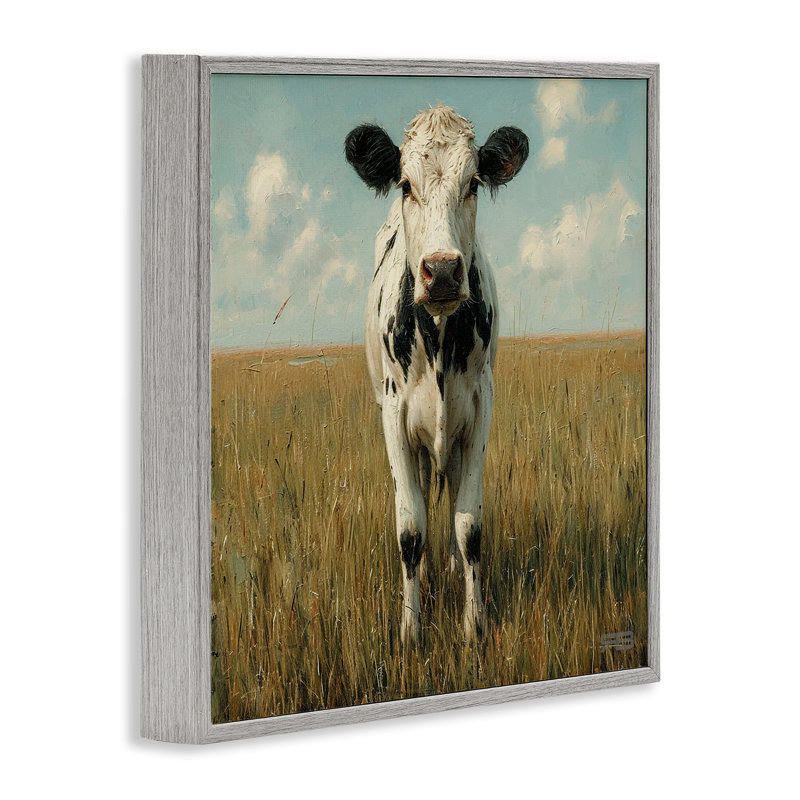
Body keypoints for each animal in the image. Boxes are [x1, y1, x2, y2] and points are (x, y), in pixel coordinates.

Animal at [344, 106, 528, 645]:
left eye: (473, 184)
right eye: (406, 184)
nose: (444, 271)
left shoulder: (481, 408)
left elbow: (469, 527)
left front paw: (474, 626)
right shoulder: (392, 415)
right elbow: (410, 528)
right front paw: (412, 630)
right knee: (425, 497)